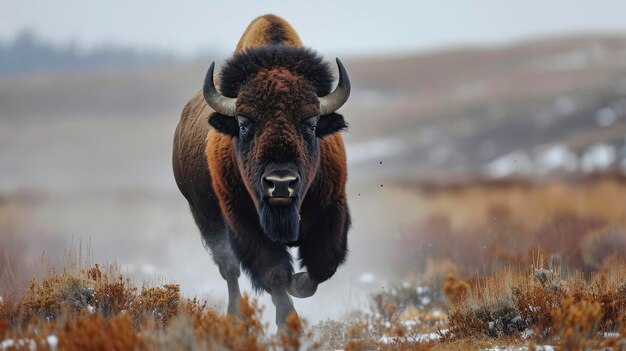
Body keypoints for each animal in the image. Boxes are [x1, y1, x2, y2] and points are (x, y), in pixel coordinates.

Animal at [173, 15, 348, 330]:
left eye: (311, 124)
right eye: (244, 125)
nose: (280, 184)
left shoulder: (333, 208)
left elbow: (323, 265)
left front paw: (298, 283)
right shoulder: (243, 220)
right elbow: (273, 273)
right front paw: (288, 322)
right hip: (206, 218)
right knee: (230, 270)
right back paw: (236, 316)